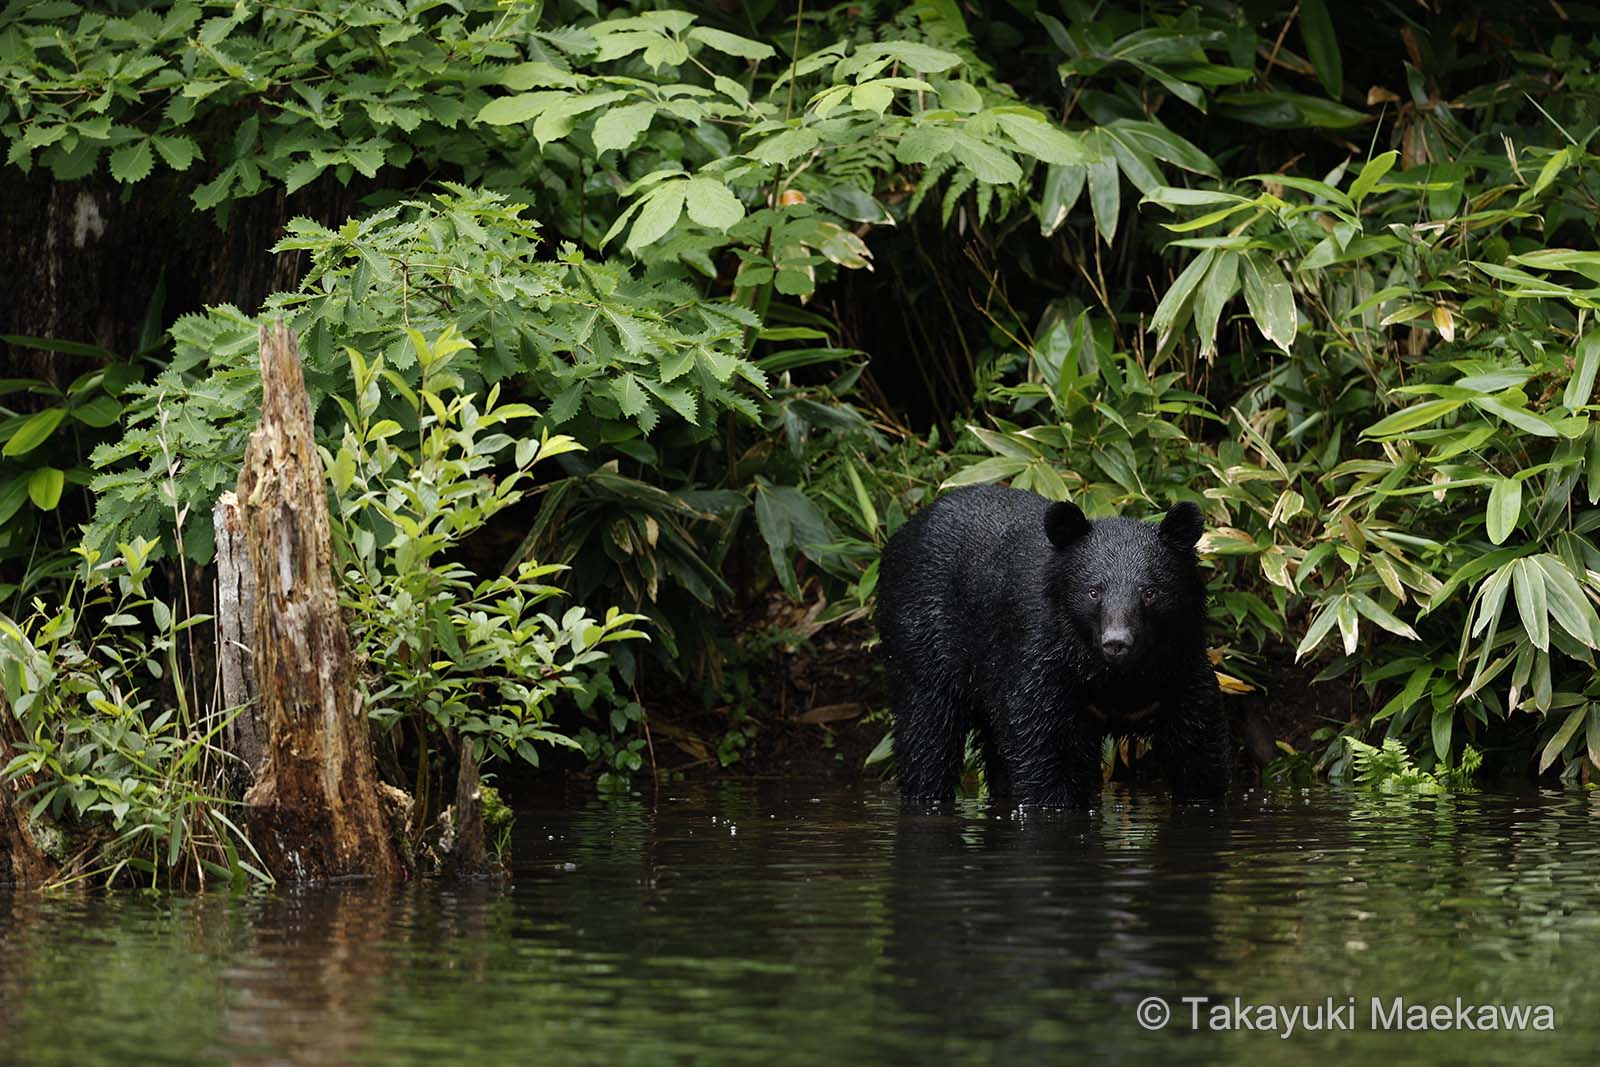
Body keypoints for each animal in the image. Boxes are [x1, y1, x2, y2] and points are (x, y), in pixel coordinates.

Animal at [876, 486, 1235, 809]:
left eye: (1149, 592)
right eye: (1093, 591)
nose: (1117, 643)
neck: (1115, 673)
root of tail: (903, 531)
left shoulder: (1179, 667)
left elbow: (1198, 750)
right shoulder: (1044, 664)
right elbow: (1047, 749)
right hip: (924, 635)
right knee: (927, 732)